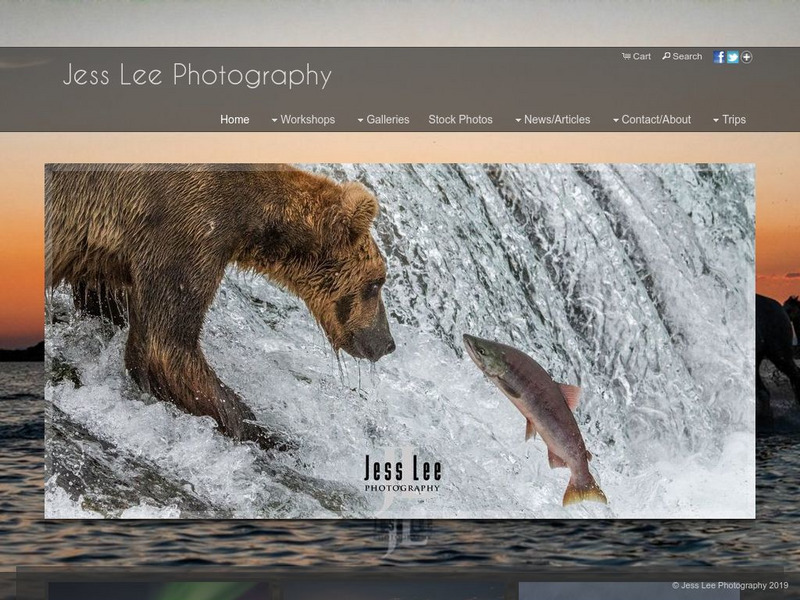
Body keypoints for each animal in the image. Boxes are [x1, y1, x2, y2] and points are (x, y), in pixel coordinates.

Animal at [45, 163, 395, 450]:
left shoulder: (108, 249)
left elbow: (104, 304)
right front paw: (272, 434)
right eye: (377, 282)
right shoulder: (186, 228)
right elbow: (167, 346)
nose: (387, 342)